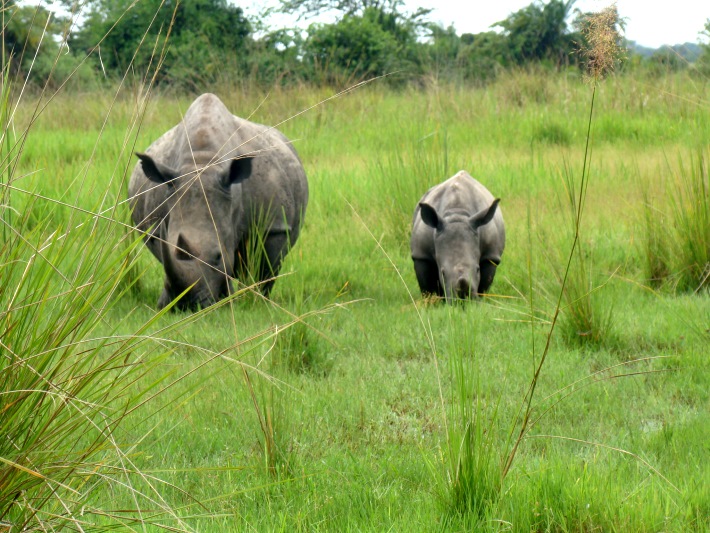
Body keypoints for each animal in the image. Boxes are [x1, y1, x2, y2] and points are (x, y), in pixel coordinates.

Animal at [129, 91, 308, 308]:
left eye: (217, 256)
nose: (184, 305)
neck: (202, 162)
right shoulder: (156, 229)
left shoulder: (273, 225)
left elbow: (263, 269)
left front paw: (250, 301)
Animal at [412, 171, 506, 302]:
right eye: (443, 273)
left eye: (477, 269)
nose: (463, 300)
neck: (456, 214)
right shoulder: (421, 254)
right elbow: (427, 288)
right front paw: (432, 303)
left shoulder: (490, 255)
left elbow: (484, 285)